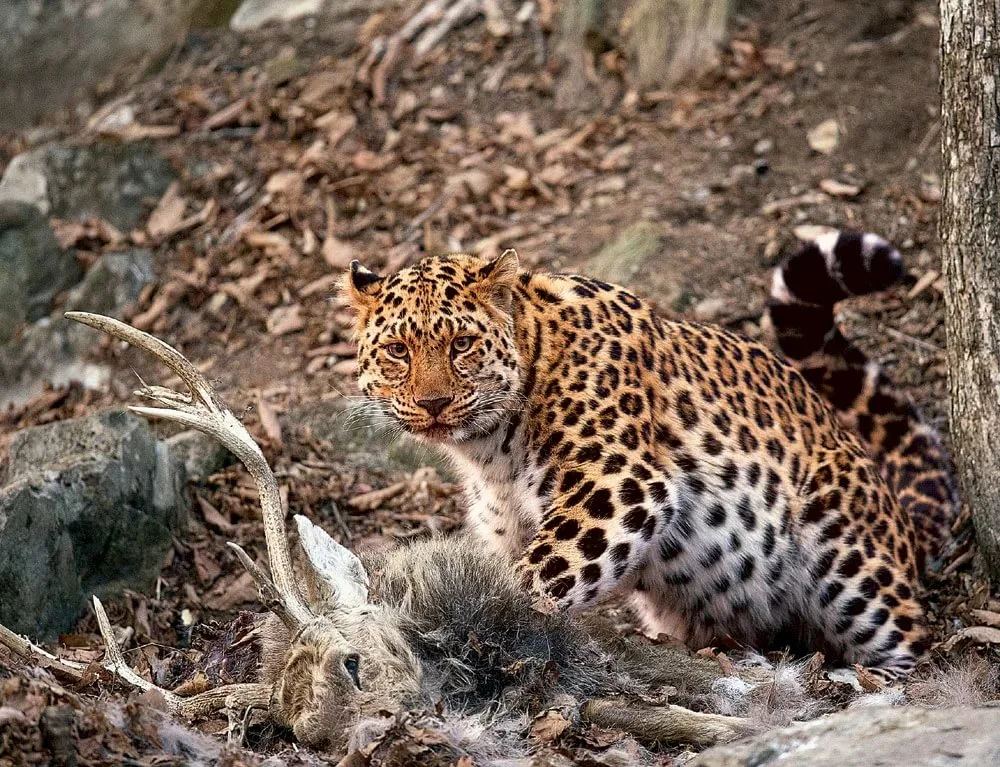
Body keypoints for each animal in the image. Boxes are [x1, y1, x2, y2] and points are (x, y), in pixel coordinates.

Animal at [346, 234, 960, 680]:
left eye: (462, 345)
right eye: (398, 350)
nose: (433, 404)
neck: (491, 452)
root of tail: (900, 519)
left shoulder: (617, 482)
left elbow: (537, 576)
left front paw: (474, 632)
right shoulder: (508, 526)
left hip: (848, 559)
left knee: (911, 639)